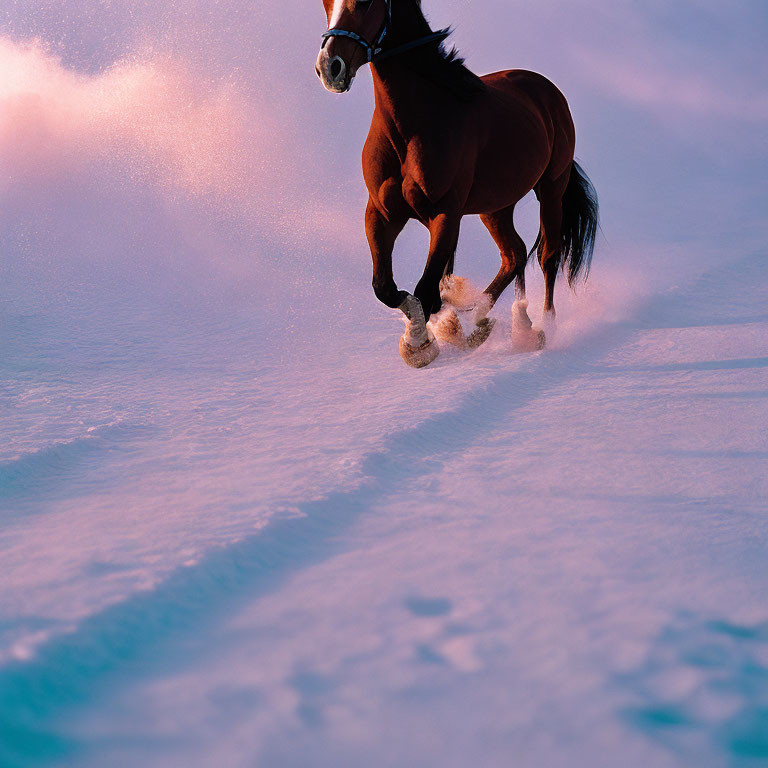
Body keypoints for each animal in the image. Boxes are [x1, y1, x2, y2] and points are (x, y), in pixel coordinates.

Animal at [316, 0, 596, 368]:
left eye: (365, 3)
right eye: (326, 4)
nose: (329, 67)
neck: (412, 127)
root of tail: (547, 91)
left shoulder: (445, 214)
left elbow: (425, 288)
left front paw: (421, 344)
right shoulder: (381, 213)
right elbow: (385, 287)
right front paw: (441, 326)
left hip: (552, 188)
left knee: (548, 255)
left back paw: (540, 327)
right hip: (496, 206)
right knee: (514, 254)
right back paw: (489, 320)